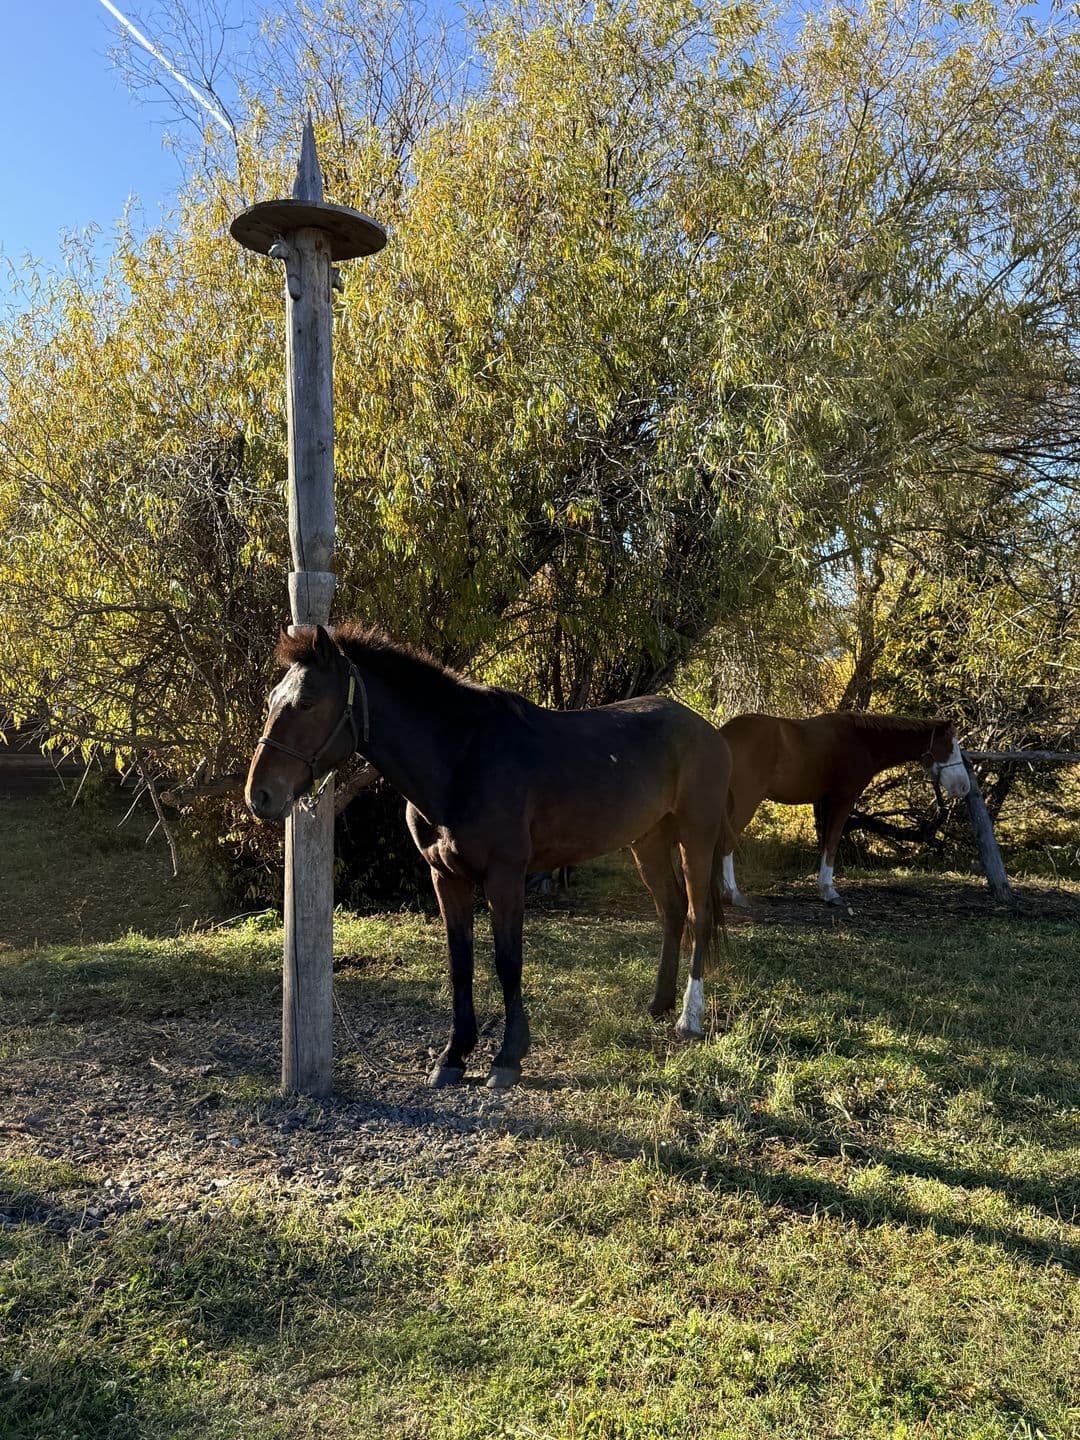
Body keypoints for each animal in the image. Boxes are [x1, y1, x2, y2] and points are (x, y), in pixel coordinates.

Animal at [245, 623, 734, 1088]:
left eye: (307, 702)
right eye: (272, 700)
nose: (259, 796)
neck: (462, 759)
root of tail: (704, 728)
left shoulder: (505, 877)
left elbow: (507, 962)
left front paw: (508, 1057)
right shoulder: (446, 877)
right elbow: (460, 963)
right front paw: (453, 1056)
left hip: (696, 836)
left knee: (698, 916)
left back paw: (689, 1018)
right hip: (647, 841)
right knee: (672, 911)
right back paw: (659, 1004)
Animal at [718, 711, 971, 907]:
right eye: (949, 747)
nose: (964, 787)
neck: (861, 741)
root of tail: (724, 735)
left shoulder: (824, 802)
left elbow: (825, 844)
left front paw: (823, 889)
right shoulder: (843, 800)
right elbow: (832, 843)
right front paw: (830, 892)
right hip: (746, 801)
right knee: (727, 842)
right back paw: (733, 894)